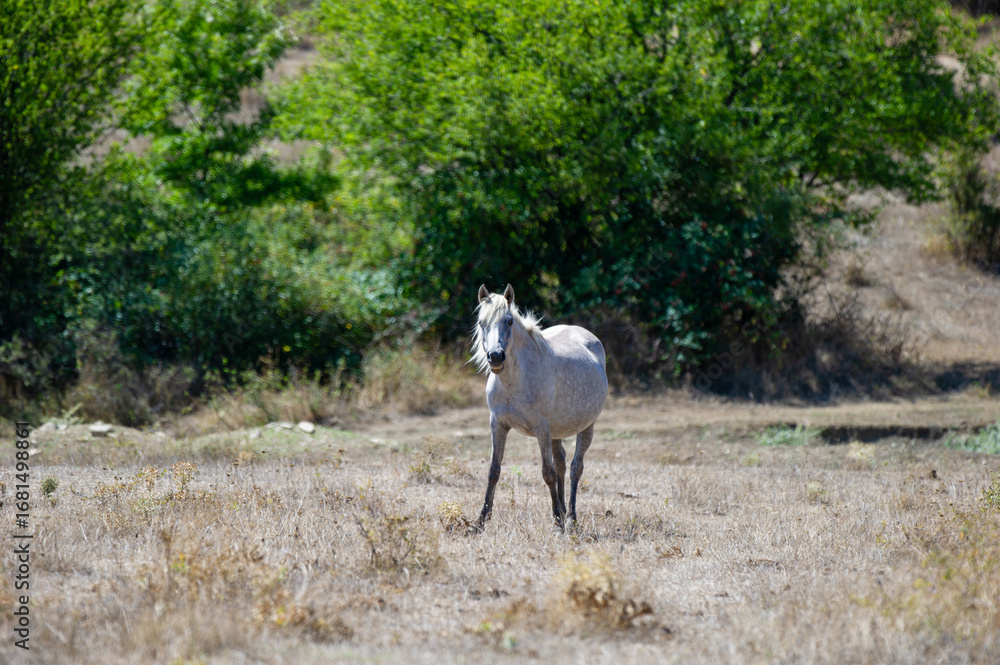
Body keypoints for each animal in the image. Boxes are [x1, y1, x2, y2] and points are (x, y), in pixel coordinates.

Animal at [471, 284, 608, 529]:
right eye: (480, 322)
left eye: (509, 321)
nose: (495, 357)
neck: (514, 382)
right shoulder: (498, 425)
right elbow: (493, 471)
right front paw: (480, 521)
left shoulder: (541, 429)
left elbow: (548, 473)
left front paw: (558, 521)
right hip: (557, 431)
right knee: (562, 462)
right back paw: (563, 510)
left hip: (586, 426)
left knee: (575, 468)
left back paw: (571, 517)